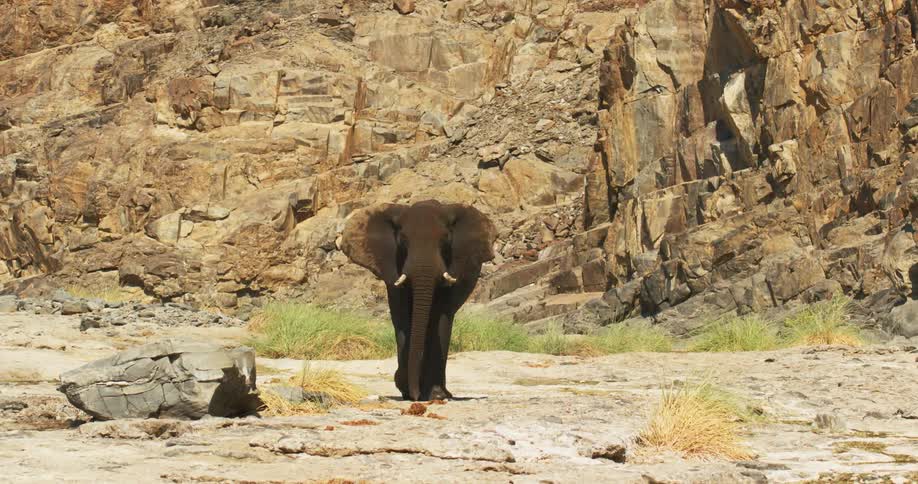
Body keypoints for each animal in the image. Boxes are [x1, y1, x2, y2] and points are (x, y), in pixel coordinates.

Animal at [340, 200, 497, 401]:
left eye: (445, 239)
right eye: (403, 240)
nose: (414, 396)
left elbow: (439, 316)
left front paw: (434, 394)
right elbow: (402, 317)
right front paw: (407, 389)